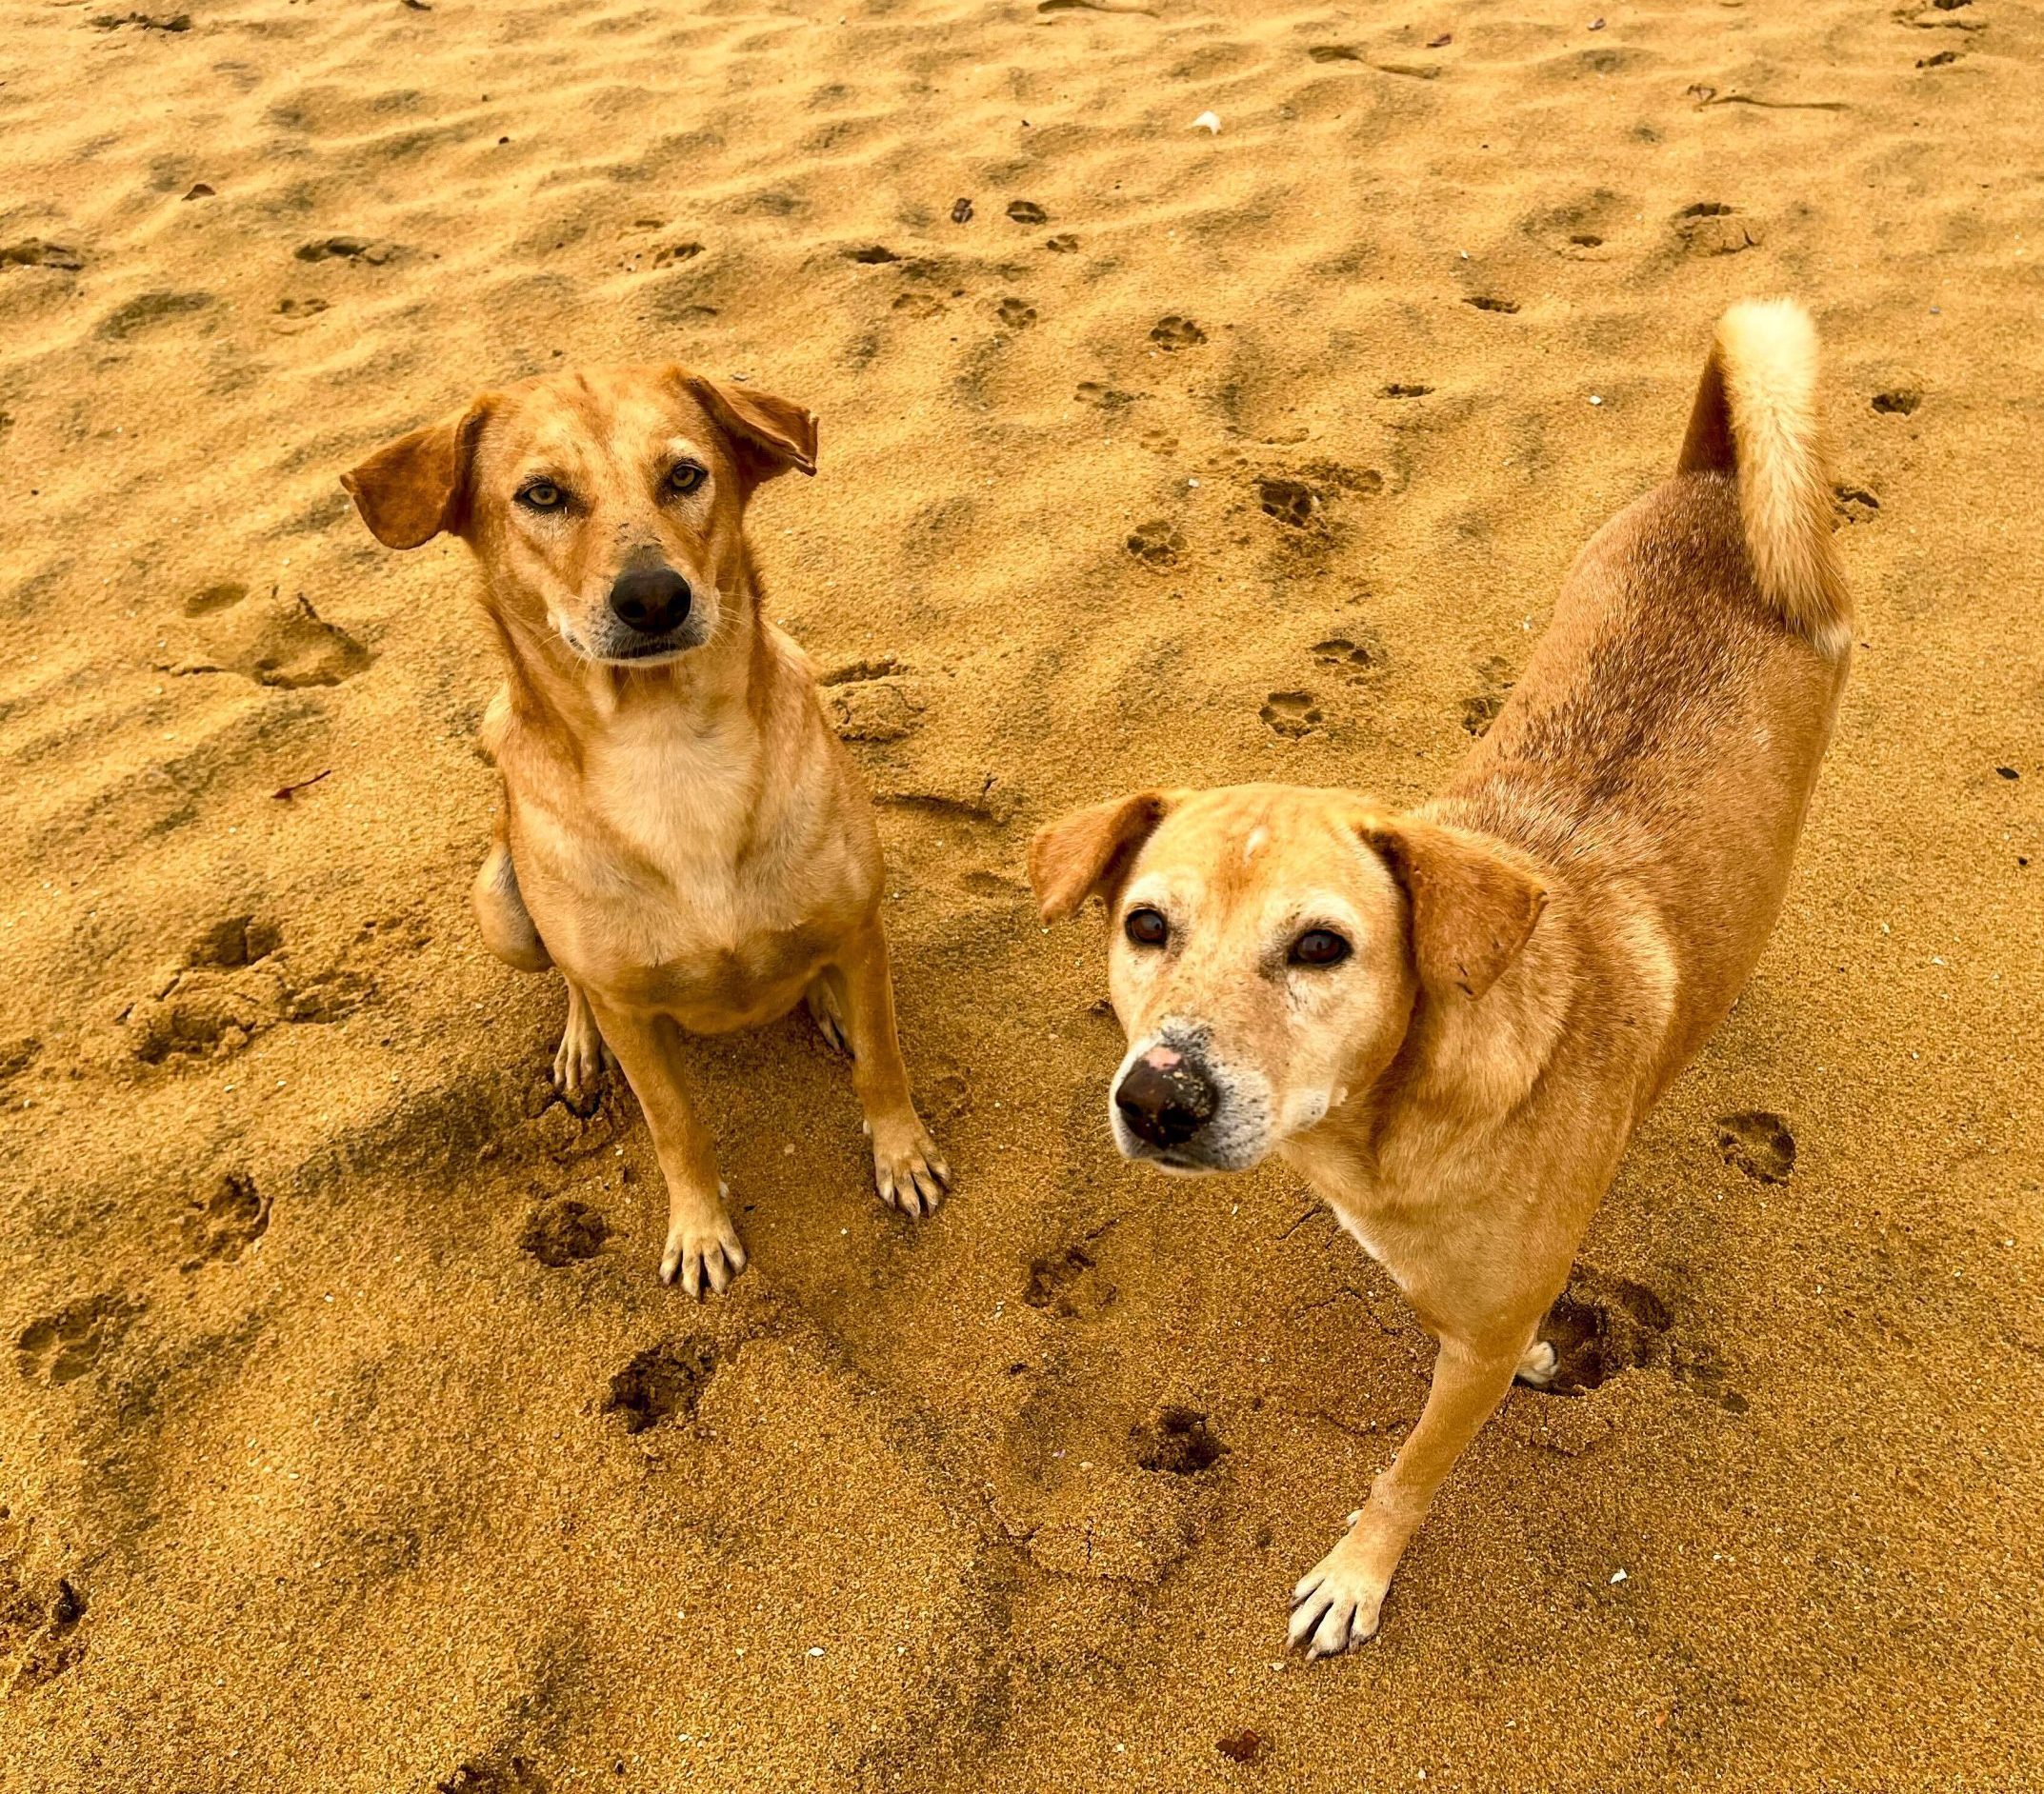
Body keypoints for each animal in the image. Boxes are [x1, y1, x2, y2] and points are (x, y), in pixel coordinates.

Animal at [347, 366, 952, 1291]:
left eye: (684, 475)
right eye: (543, 494)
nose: (654, 597)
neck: (672, 751)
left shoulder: (858, 927)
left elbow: (884, 1064)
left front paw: (903, 1154)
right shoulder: (633, 1016)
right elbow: (675, 1126)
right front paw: (700, 1229)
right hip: (500, 909)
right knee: (570, 979)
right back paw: (578, 1047)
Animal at [1038, 302, 1855, 1666]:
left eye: (1321, 947)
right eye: (1145, 926)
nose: (1157, 1101)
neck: (1392, 1117)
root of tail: (1718, 478)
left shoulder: (1469, 1350)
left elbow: (1406, 1473)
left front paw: (1356, 1576)